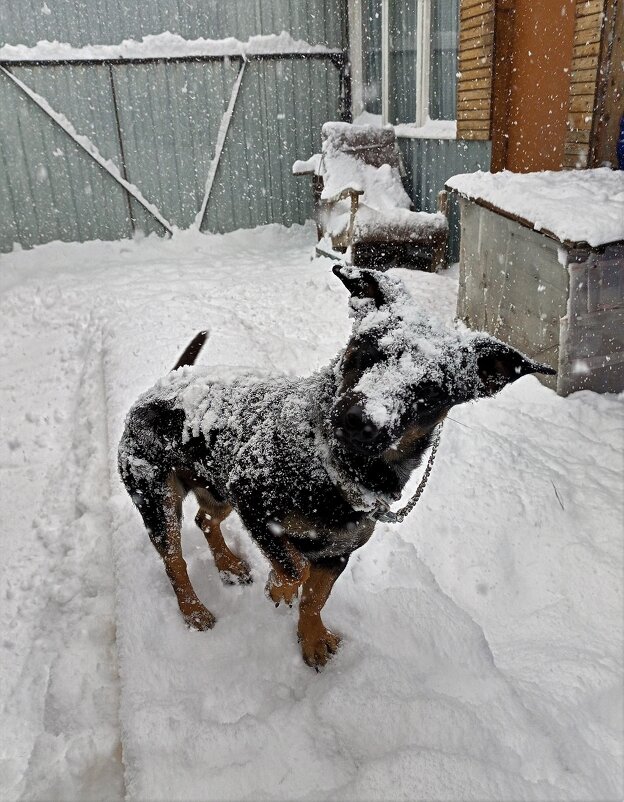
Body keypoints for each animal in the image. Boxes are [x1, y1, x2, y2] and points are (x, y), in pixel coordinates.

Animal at [118, 266, 556, 664]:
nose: (360, 420)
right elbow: (295, 567)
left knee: (206, 519)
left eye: (430, 391)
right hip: (158, 495)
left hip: (216, 486)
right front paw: (279, 587)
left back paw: (227, 564)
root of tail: (165, 382)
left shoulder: (338, 550)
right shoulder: (253, 501)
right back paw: (194, 611)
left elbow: (316, 596)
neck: (331, 467)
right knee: (175, 561)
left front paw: (311, 638)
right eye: (367, 352)